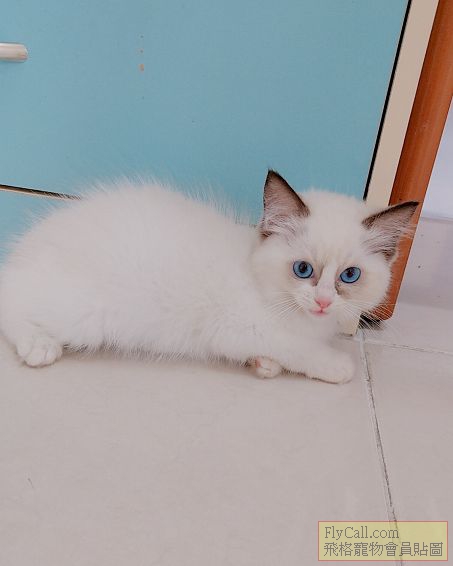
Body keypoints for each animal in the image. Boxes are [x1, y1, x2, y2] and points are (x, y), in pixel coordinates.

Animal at [0, 171, 417, 383]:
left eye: (350, 276)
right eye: (303, 270)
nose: (324, 301)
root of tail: (29, 246)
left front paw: (264, 365)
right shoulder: (240, 328)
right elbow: (298, 350)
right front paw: (335, 366)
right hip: (84, 314)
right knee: (11, 296)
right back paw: (39, 346)